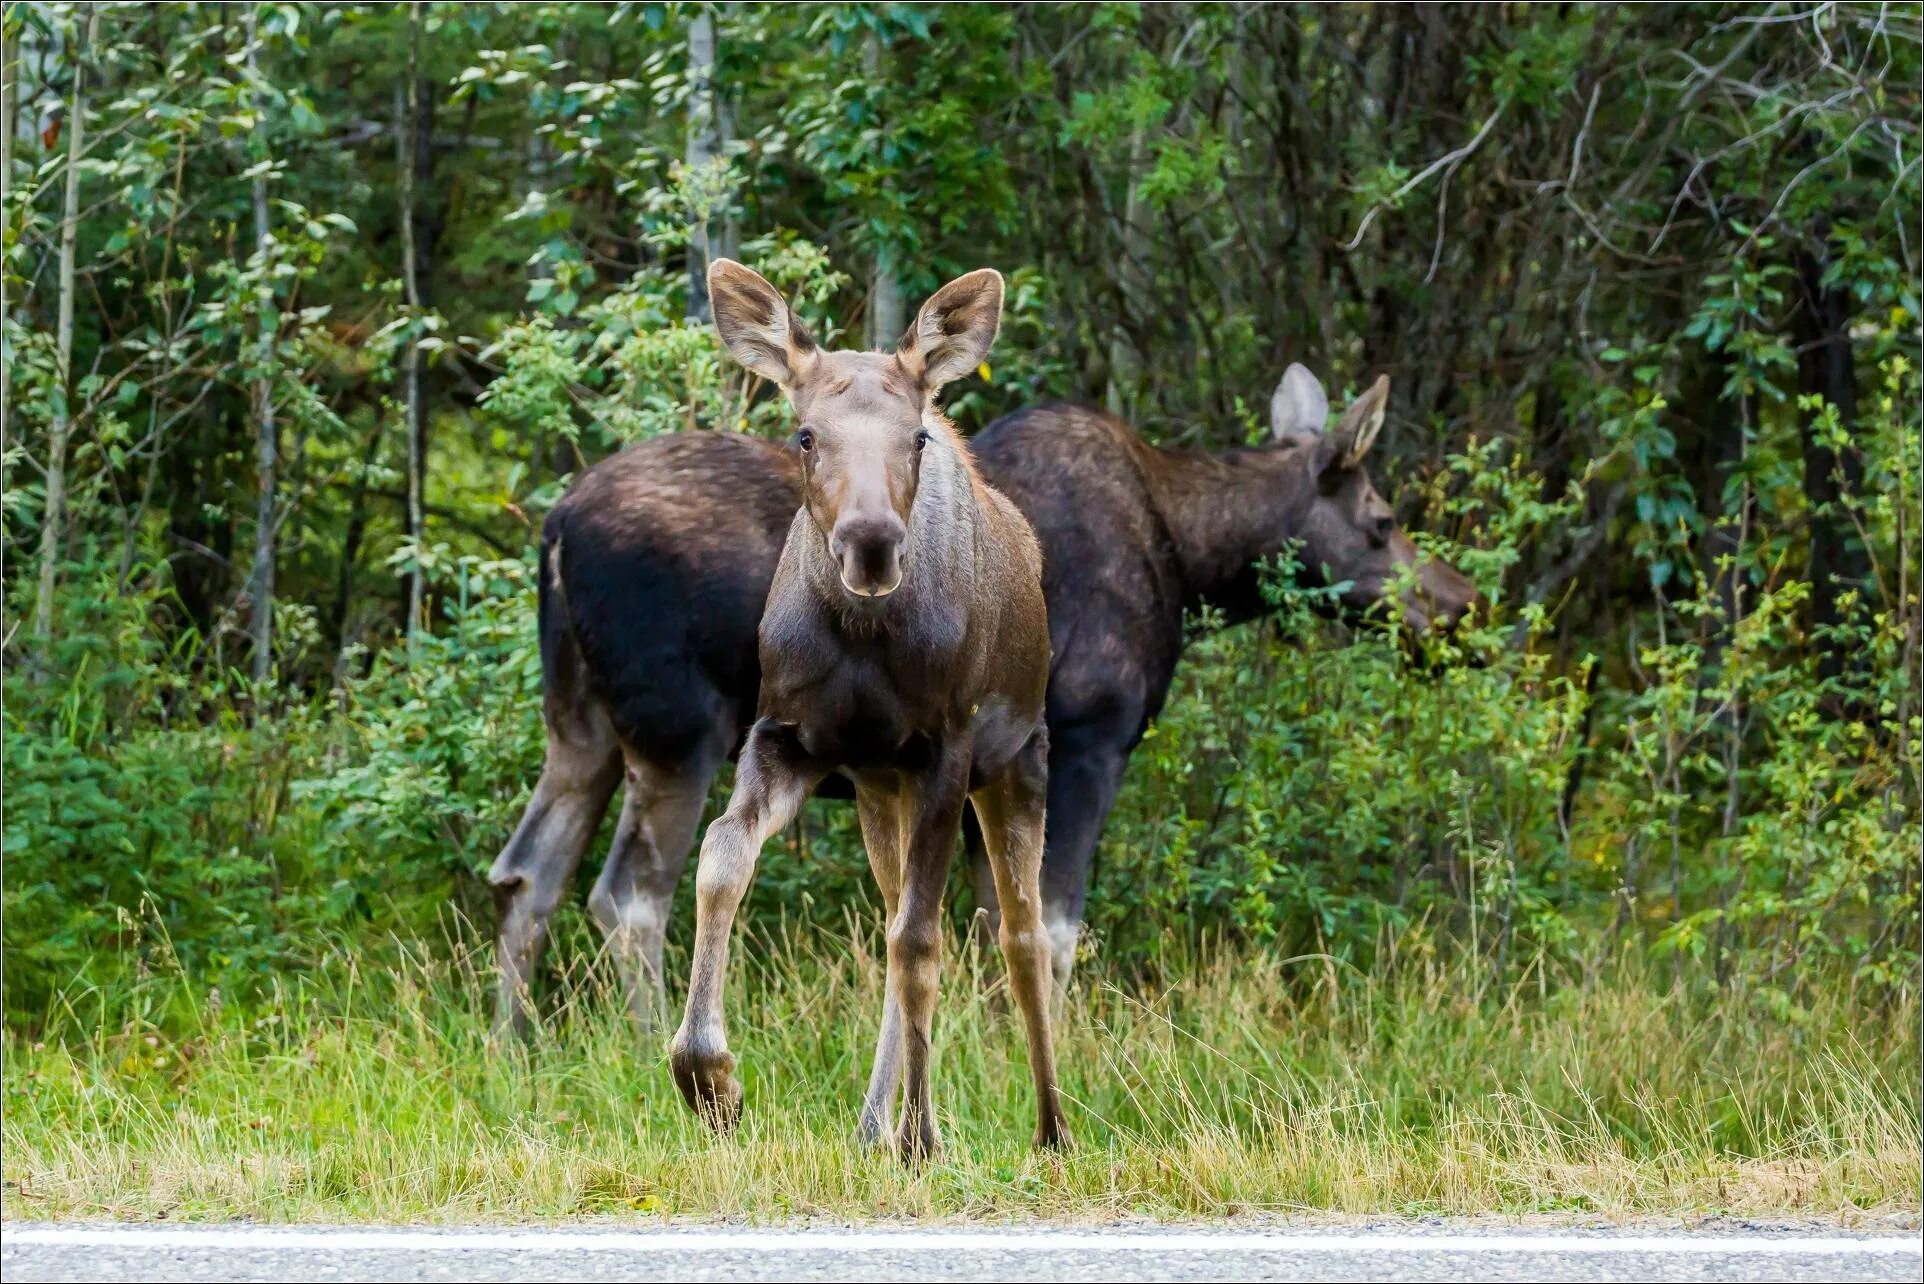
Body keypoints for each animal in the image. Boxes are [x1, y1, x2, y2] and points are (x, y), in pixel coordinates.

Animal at [488, 304, 1477, 1062]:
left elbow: (980, 920)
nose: (1460, 608)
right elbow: (1057, 923)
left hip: (581, 725)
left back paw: (514, 1049)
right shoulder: (1088, 738)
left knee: (526, 872)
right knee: (630, 894)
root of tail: (556, 528)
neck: (1193, 555)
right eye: (1381, 520)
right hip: (680, 730)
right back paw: (646, 1046)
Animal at [658, 256, 1062, 1162]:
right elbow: (720, 858)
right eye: (806, 435)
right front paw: (712, 1081)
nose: (871, 544)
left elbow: (921, 943)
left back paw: (1051, 1128)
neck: (865, 640)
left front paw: (924, 1136)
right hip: (882, 789)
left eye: (916, 437)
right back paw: (875, 1121)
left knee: (1021, 937)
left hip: (1018, 762)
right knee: (892, 914)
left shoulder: (947, 750)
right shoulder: (785, 734)